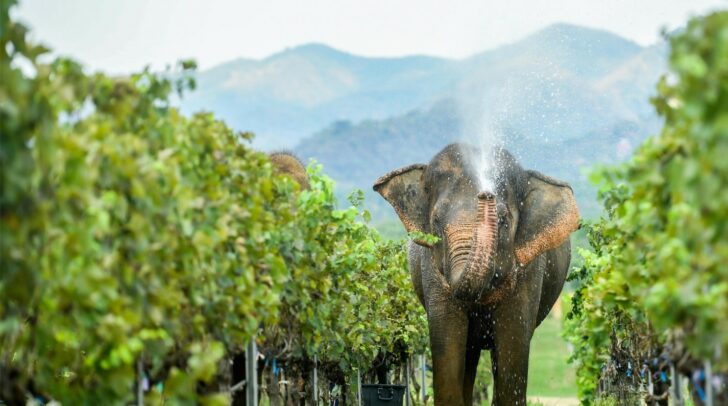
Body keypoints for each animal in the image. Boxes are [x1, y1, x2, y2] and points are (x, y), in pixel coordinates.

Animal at [372, 144, 576, 406]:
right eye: (436, 221)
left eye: (503, 220)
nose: (485, 194)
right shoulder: (432, 269)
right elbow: (448, 346)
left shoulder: (530, 272)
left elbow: (513, 347)